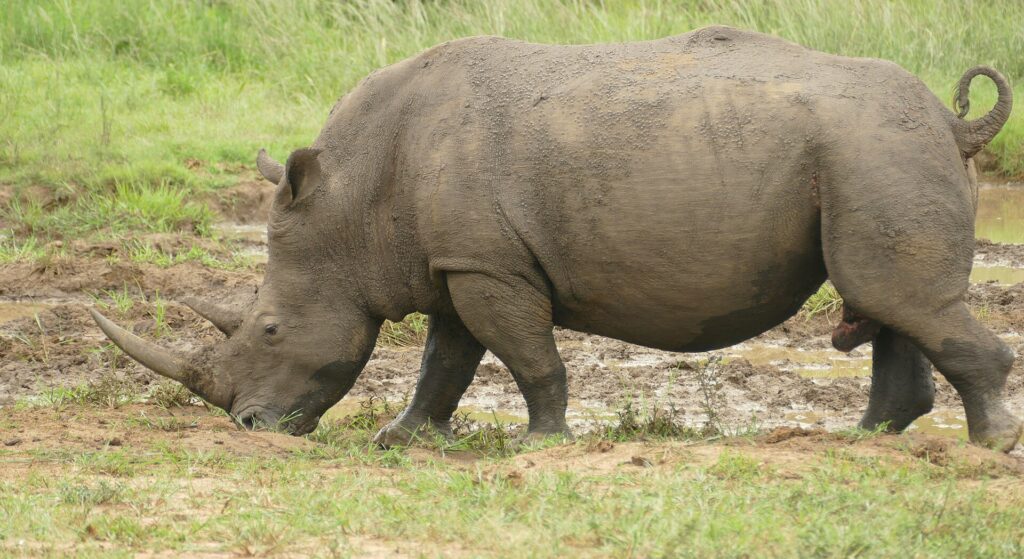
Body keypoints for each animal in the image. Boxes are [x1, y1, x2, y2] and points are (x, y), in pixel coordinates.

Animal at [92, 26, 1021, 451]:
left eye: (271, 327)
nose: (251, 425)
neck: (350, 203)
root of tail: (953, 122)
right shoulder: (461, 258)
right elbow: (444, 359)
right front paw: (403, 438)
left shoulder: (488, 264)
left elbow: (525, 355)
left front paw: (542, 442)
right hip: (873, 151)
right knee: (887, 296)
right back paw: (865, 439)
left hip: (877, 149)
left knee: (896, 293)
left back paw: (989, 446)